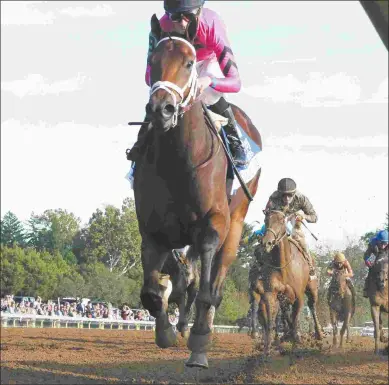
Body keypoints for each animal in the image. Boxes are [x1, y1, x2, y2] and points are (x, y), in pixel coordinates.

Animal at [132, 14, 262, 368]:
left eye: (189, 62)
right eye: (151, 61)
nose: (161, 109)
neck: (177, 161)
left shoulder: (212, 223)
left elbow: (205, 289)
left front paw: (200, 341)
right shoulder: (153, 230)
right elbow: (154, 291)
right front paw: (166, 331)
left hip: (236, 224)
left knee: (215, 281)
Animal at [258, 210, 324, 354]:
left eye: (281, 221)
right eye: (266, 220)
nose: (267, 243)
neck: (284, 268)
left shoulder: (298, 297)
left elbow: (294, 319)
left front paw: (296, 343)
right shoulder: (272, 293)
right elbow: (273, 319)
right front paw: (267, 348)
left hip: (312, 290)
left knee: (312, 306)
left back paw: (318, 334)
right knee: (286, 313)